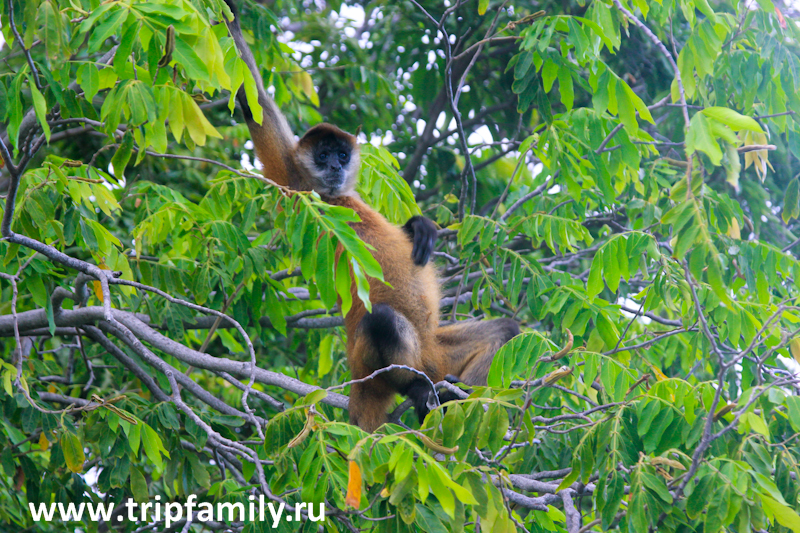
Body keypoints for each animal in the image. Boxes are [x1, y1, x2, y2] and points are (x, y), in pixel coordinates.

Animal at [220, 0, 520, 430]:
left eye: (342, 154)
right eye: (323, 155)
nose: (335, 167)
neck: (334, 198)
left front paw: (419, 228)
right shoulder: (295, 185)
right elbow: (254, 103)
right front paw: (230, 14)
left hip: (437, 349)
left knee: (504, 329)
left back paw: (456, 398)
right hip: (370, 358)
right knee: (381, 320)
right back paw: (417, 391)